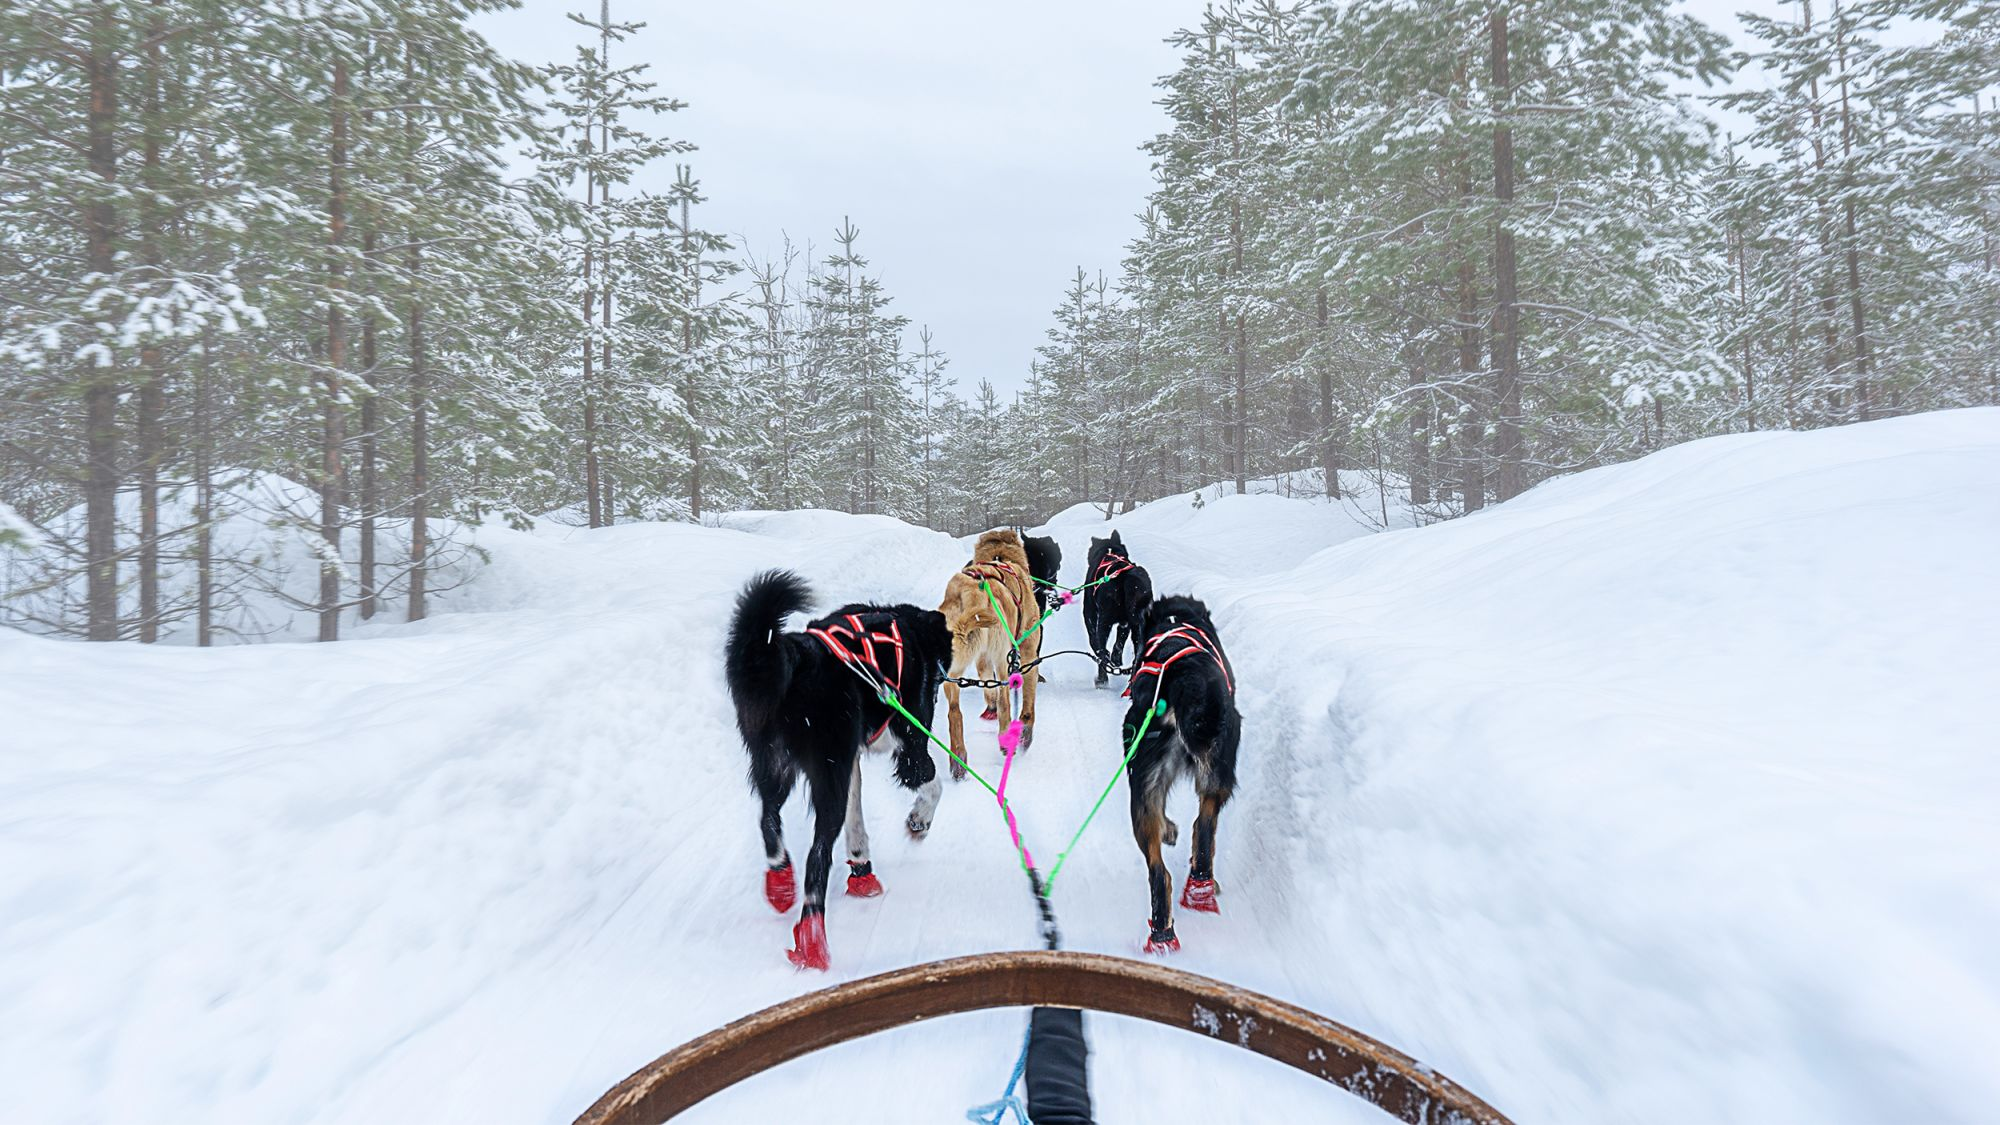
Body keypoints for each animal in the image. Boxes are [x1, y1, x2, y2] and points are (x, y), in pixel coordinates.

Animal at [728, 568, 952, 964]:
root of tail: (799, 657)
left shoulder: (850, 762)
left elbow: (856, 819)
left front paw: (861, 870)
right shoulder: (910, 745)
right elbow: (931, 783)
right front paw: (919, 821)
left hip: (776, 766)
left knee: (768, 819)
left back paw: (780, 883)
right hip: (825, 778)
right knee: (817, 857)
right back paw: (812, 940)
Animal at [940, 524, 1048, 768]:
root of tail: (972, 590)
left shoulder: (983, 659)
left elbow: (988, 687)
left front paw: (990, 707)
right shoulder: (1028, 654)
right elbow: (1027, 704)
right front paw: (1025, 733)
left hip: (953, 668)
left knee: (954, 711)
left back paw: (958, 756)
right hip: (1002, 656)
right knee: (1006, 701)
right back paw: (1007, 740)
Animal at [1080, 528, 1160, 688]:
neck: (1110, 553)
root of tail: (1127, 578)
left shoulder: (1089, 613)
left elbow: (1094, 641)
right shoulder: (1126, 623)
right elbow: (1120, 640)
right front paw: (1116, 659)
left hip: (1104, 621)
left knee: (1102, 652)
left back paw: (1102, 680)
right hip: (1139, 625)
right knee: (1137, 654)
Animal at [1120, 592, 1240, 948]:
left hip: (1144, 786)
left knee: (1158, 872)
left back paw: (1163, 930)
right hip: (1214, 775)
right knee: (1203, 828)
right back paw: (1200, 884)